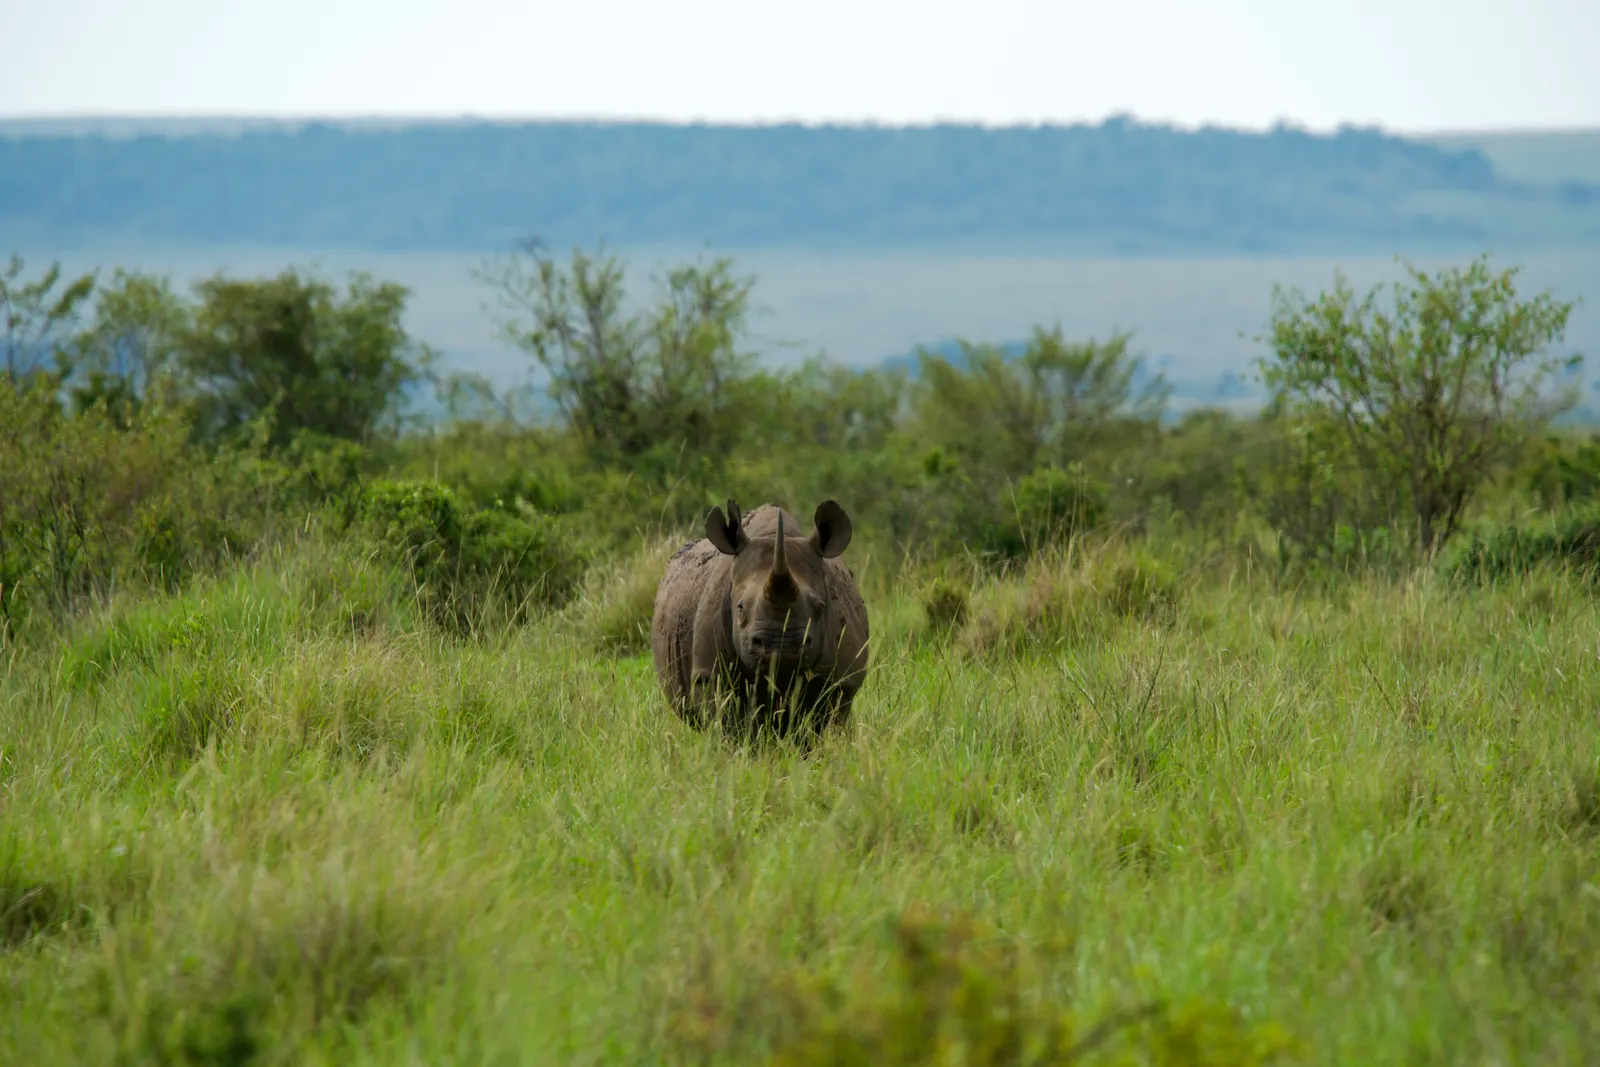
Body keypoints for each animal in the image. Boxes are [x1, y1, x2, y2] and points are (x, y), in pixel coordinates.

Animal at [651, 499, 870, 740]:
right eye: (740, 608)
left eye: (820, 608)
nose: (781, 646)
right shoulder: (711, 675)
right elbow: (729, 724)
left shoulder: (842, 679)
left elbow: (823, 723)